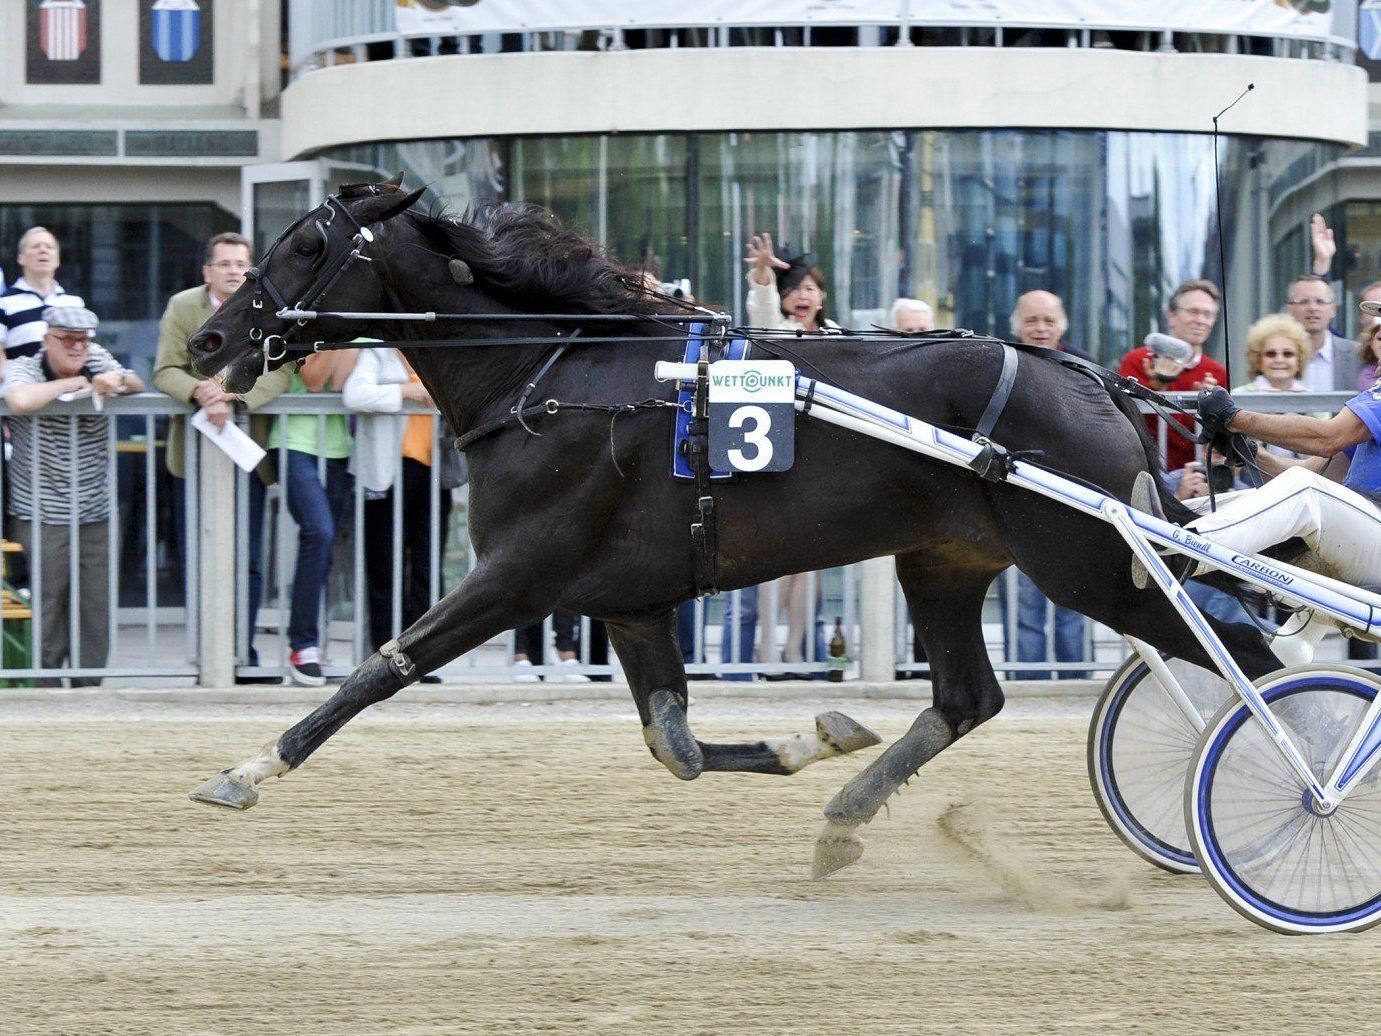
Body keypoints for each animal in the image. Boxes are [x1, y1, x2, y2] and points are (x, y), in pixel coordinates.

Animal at [186, 176, 1281, 878]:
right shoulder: (627, 601)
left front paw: (244, 771)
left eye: (306, 246)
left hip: (1087, 562)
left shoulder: (518, 573)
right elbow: (673, 743)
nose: (208, 338)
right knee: (968, 698)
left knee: (1249, 663)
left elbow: (382, 666)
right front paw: (816, 739)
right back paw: (844, 816)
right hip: (945, 559)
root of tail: (1090, 378)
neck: (551, 378)